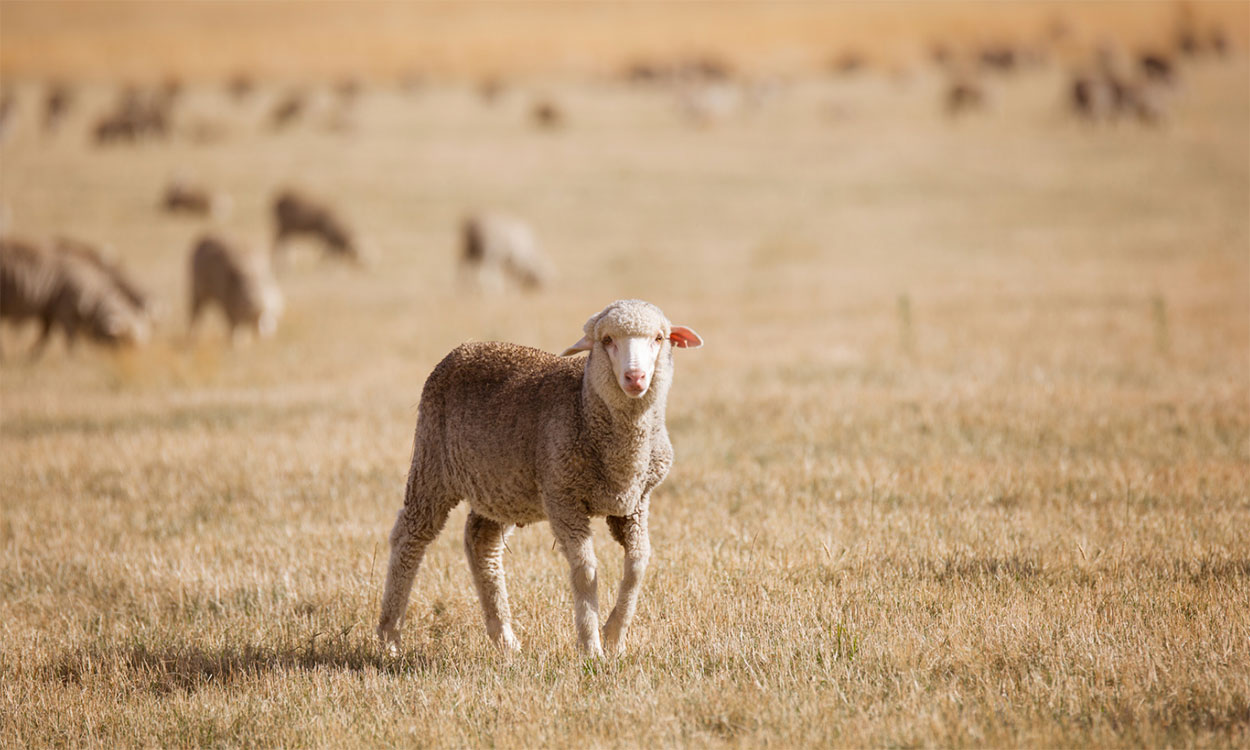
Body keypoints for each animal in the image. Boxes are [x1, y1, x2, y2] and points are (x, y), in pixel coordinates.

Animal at [375, 298, 705, 655]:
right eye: (606, 340)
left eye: (659, 338)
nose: (635, 377)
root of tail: (465, 348)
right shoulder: (563, 498)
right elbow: (585, 571)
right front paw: (591, 646)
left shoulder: (635, 502)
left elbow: (637, 564)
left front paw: (614, 635)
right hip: (432, 464)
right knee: (410, 537)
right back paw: (390, 636)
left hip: (500, 487)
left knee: (480, 542)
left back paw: (505, 639)